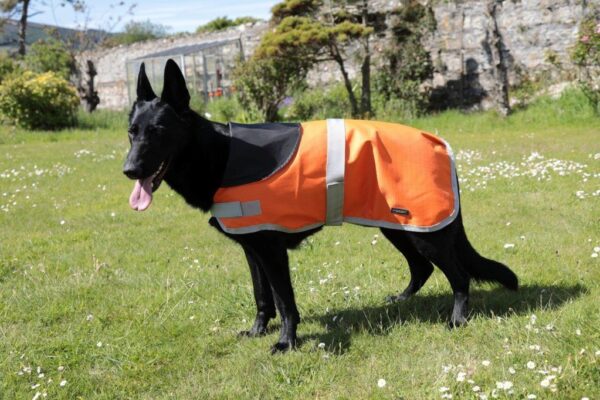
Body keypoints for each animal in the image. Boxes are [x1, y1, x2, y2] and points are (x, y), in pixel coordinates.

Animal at [123, 59, 516, 354]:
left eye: (158, 131)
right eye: (131, 132)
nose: (129, 170)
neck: (219, 154)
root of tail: (438, 142)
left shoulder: (272, 252)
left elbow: (285, 302)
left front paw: (286, 342)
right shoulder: (253, 250)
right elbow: (262, 298)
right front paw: (258, 331)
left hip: (423, 232)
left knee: (459, 275)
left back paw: (457, 319)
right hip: (397, 228)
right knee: (422, 268)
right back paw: (402, 300)